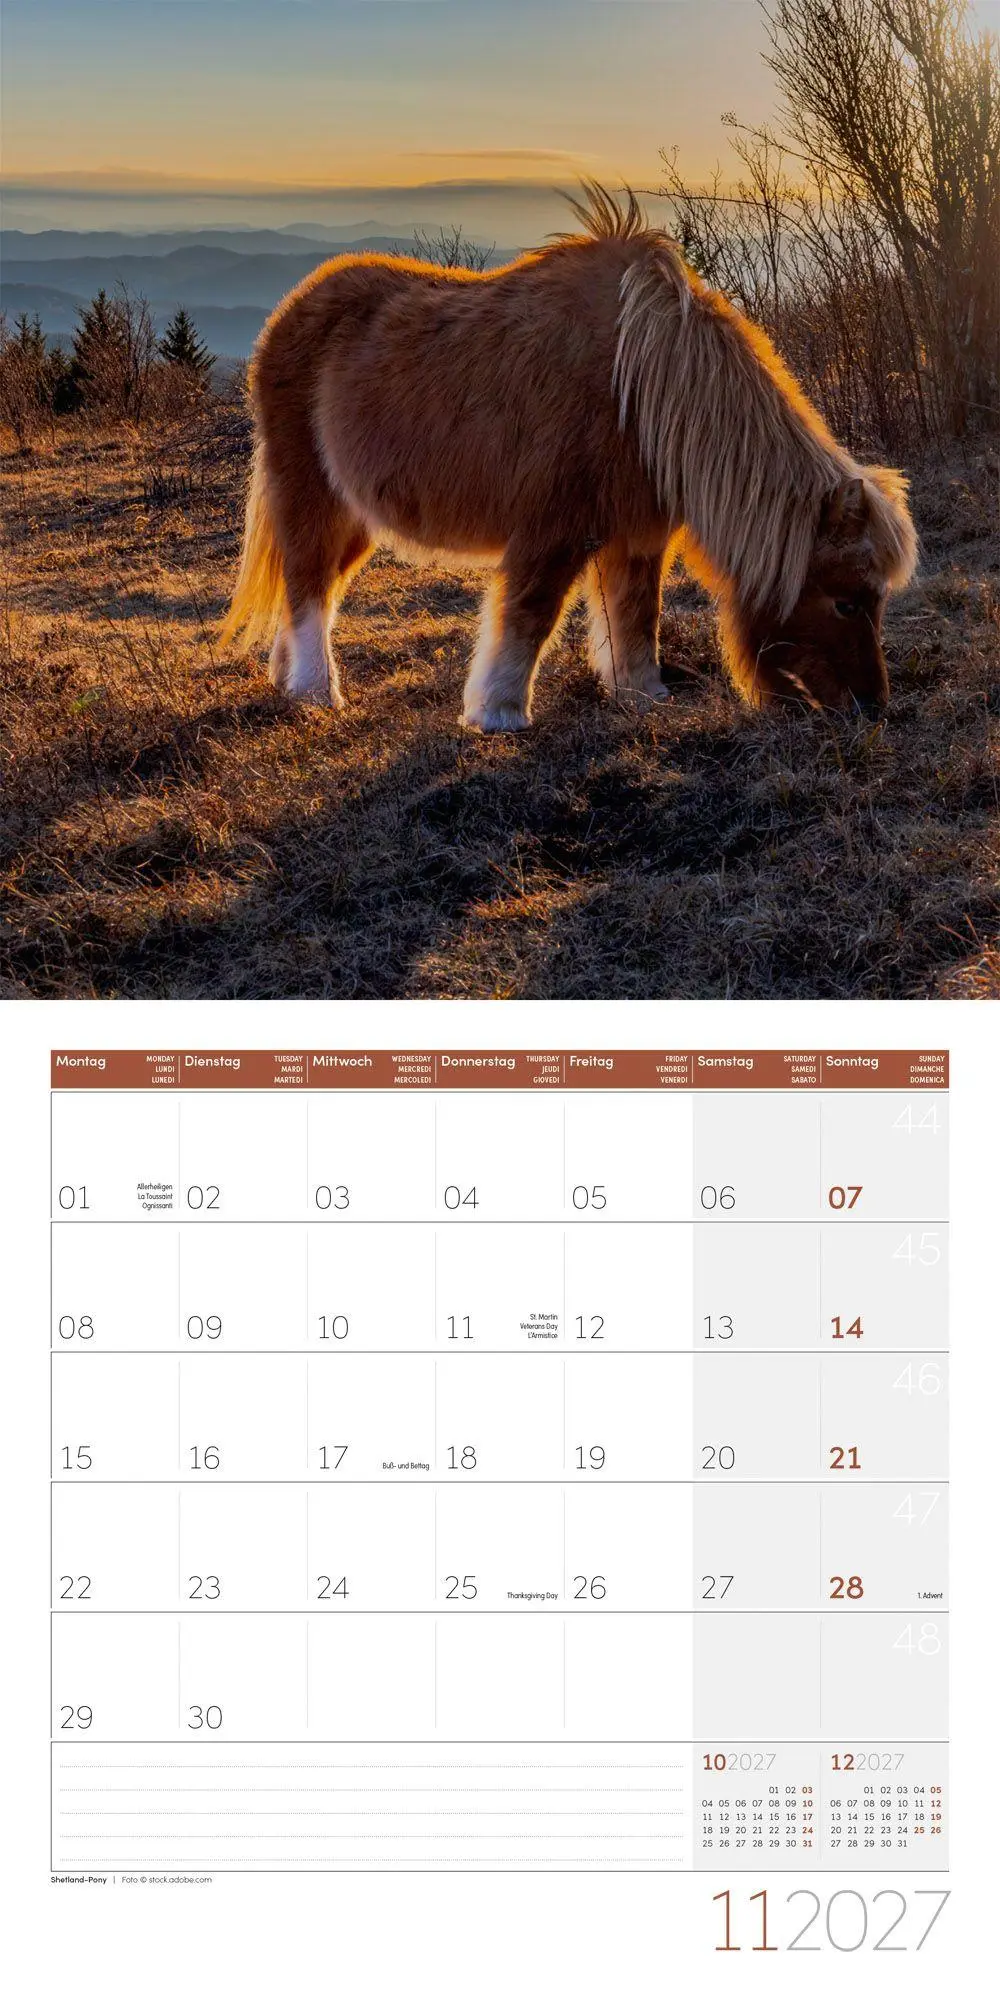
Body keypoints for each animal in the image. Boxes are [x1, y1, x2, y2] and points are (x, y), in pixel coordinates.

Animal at [220, 182, 917, 728]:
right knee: (308, 585)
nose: (872, 707)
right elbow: (530, 613)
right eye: (847, 600)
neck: (640, 386)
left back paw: (289, 685)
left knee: (312, 586)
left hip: (355, 516)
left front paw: (643, 697)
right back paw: (318, 693)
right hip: (308, 492)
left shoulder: (637, 536)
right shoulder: (553, 528)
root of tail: (291, 311)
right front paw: (498, 713)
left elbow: (636, 618)